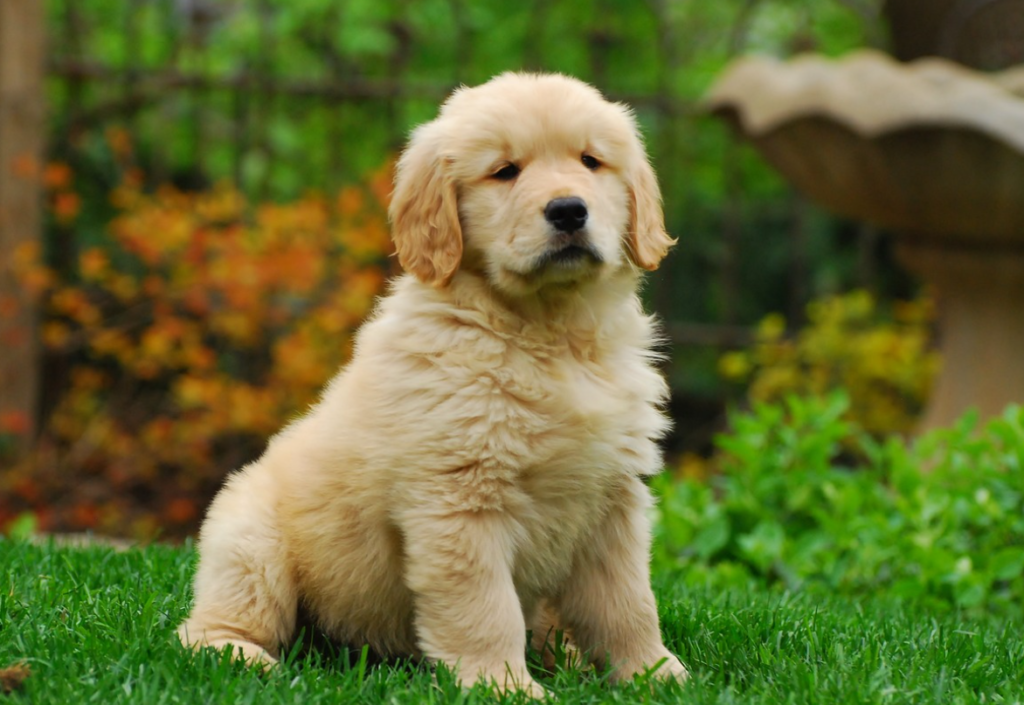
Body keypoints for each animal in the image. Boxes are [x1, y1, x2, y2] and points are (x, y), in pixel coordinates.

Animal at [178, 68, 688, 696]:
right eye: (505, 171)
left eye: (590, 162)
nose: (569, 210)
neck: (549, 333)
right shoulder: (459, 501)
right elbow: (485, 608)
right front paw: (504, 687)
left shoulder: (612, 499)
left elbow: (628, 603)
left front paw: (655, 674)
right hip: (251, 540)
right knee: (210, 625)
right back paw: (243, 657)